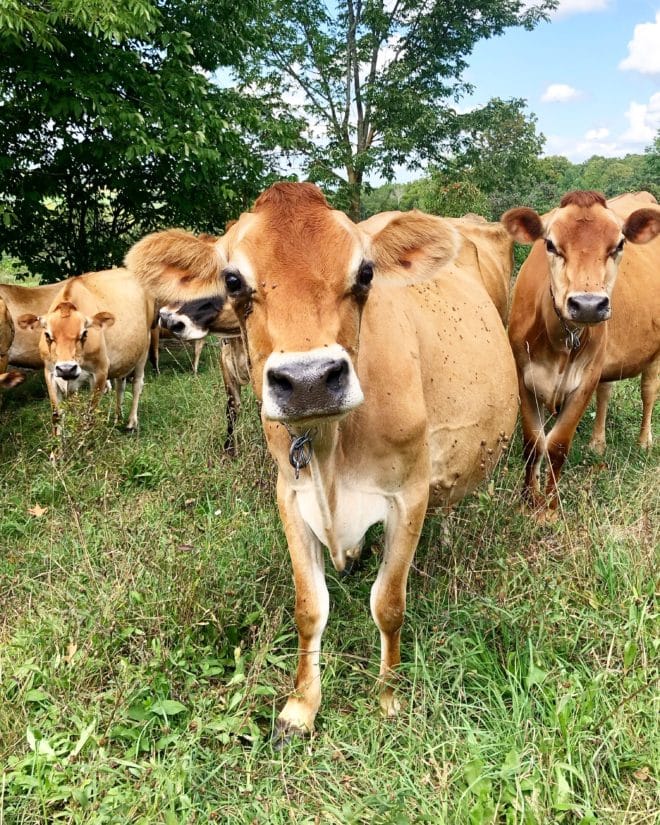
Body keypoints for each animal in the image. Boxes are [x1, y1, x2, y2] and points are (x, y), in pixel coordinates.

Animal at [18, 270, 155, 432]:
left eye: (84, 333)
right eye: (47, 335)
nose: (66, 369)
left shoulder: (100, 370)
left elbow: (90, 414)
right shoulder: (50, 372)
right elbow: (57, 415)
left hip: (144, 347)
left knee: (137, 384)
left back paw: (131, 423)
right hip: (124, 358)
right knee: (120, 384)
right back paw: (118, 418)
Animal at [126, 185, 520, 740]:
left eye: (366, 273)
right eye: (232, 279)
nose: (309, 379)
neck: (333, 449)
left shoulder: (408, 494)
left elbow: (388, 604)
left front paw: (388, 698)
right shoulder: (291, 496)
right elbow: (309, 608)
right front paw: (300, 706)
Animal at [500, 192, 660, 516]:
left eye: (619, 244)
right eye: (550, 244)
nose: (588, 305)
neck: (560, 340)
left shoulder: (584, 381)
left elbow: (557, 445)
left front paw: (549, 508)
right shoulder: (524, 377)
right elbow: (533, 443)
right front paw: (529, 500)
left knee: (649, 392)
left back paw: (644, 441)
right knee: (606, 392)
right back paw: (598, 443)